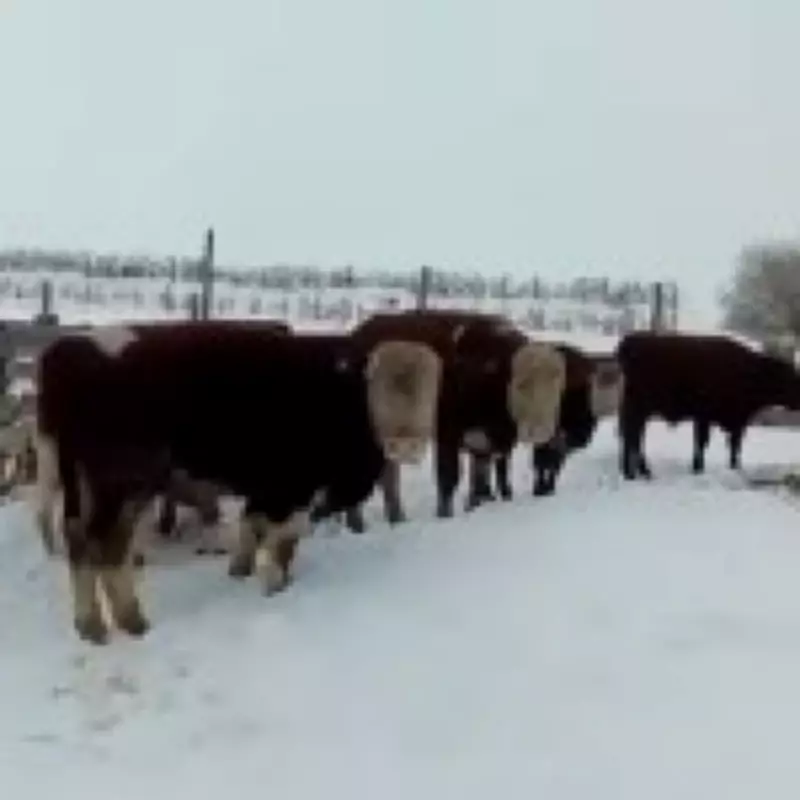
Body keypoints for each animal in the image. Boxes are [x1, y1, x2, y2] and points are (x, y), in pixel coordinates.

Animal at [36, 322, 442, 644]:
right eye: (378, 385)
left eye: (431, 389)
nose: (406, 444)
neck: (339, 396)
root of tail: (72, 348)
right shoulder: (292, 490)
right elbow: (281, 543)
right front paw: (276, 587)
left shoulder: (267, 490)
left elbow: (253, 526)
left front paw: (242, 570)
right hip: (122, 485)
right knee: (107, 545)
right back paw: (124, 621)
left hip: (86, 485)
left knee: (81, 539)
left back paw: (98, 623)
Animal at [330, 309, 566, 528]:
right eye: (521, 384)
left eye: (557, 386)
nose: (540, 430)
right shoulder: (447, 435)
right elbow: (448, 479)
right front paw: (444, 517)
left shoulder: (482, 443)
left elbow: (479, 483)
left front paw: (474, 508)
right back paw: (359, 523)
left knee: (388, 476)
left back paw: (395, 518)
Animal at [615, 330, 800, 480]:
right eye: (790, 378)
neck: (752, 372)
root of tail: (632, 341)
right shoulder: (706, 417)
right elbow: (705, 443)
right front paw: (700, 469)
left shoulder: (734, 421)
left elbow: (733, 445)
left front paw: (733, 468)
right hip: (640, 408)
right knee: (633, 435)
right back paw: (640, 473)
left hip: (638, 409)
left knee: (631, 435)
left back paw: (631, 473)